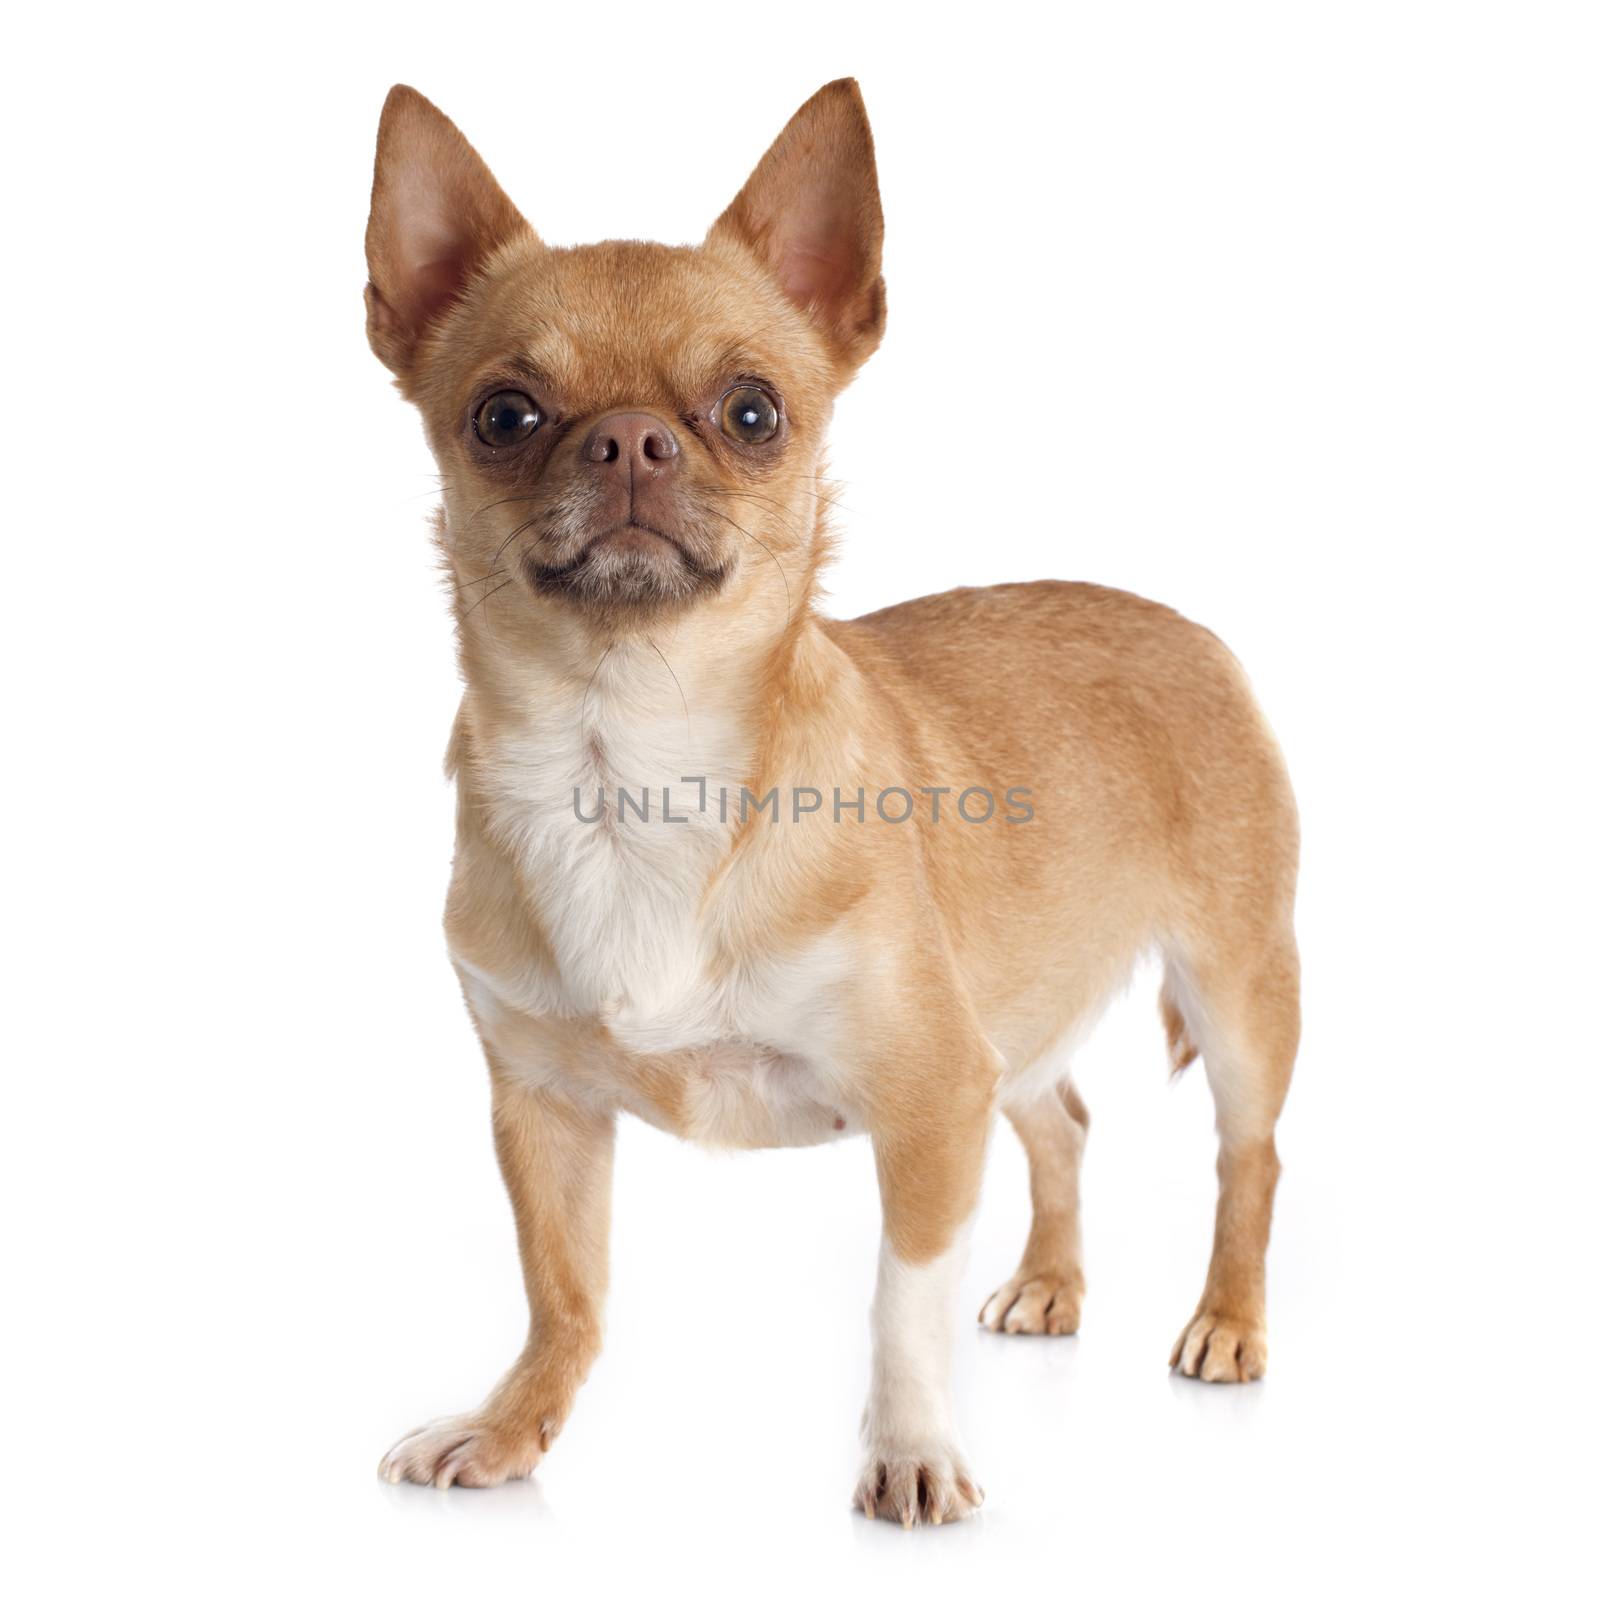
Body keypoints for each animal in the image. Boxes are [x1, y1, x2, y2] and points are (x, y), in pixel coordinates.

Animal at [363, 84, 1299, 1523]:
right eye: (502, 416)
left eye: (753, 412)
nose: (629, 439)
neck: (627, 765)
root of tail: (1186, 629)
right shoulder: (545, 1111)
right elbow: (564, 1293)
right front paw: (512, 1429)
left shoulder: (929, 1100)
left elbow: (898, 1304)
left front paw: (908, 1451)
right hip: (1015, 1012)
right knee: (1064, 1123)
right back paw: (1051, 1284)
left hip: (1237, 991)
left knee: (1248, 1157)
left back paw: (1229, 1321)